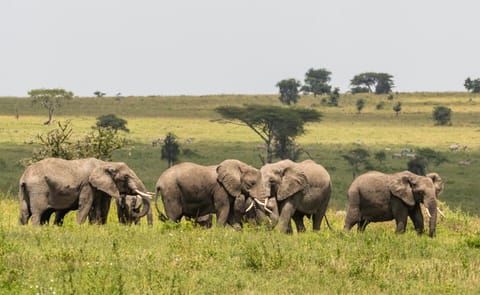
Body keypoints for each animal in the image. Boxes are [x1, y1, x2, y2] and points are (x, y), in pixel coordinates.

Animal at [18, 158, 152, 225]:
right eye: (126, 177)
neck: (105, 164)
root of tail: (24, 177)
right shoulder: (87, 185)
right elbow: (86, 204)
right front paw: (79, 228)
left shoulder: (103, 186)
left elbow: (103, 207)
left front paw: (98, 227)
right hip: (38, 188)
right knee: (38, 212)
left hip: (26, 191)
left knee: (24, 212)